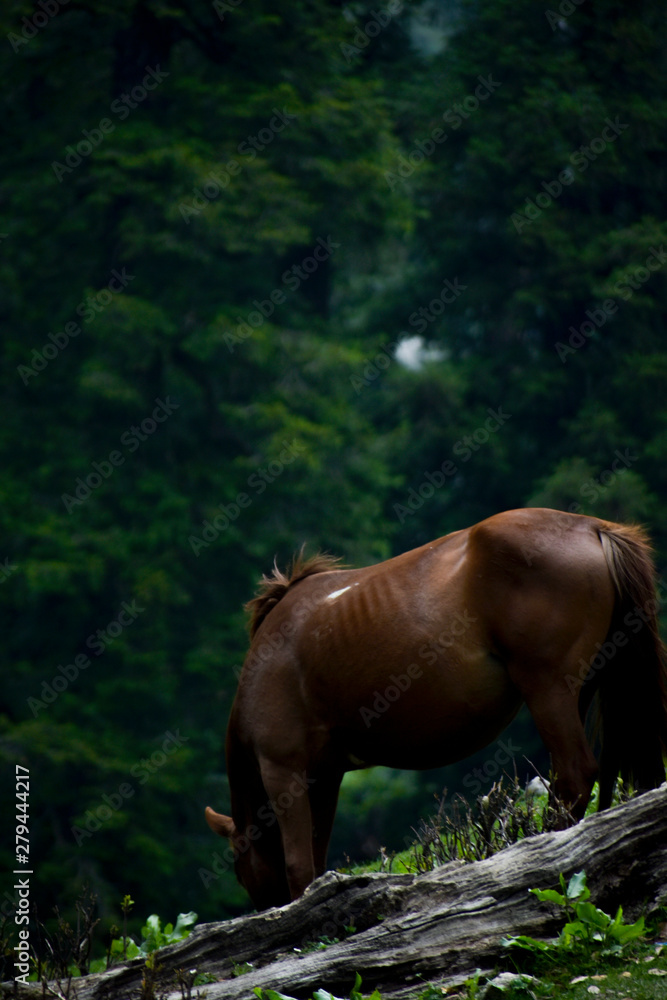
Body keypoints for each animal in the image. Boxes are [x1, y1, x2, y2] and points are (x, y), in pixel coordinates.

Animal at [205, 507, 667, 910]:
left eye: (239, 870)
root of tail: (591, 527)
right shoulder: (324, 776)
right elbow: (316, 862)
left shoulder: (284, 770)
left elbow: (300, 868)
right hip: (585, 688)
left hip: (548, 689)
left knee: (574, 775)